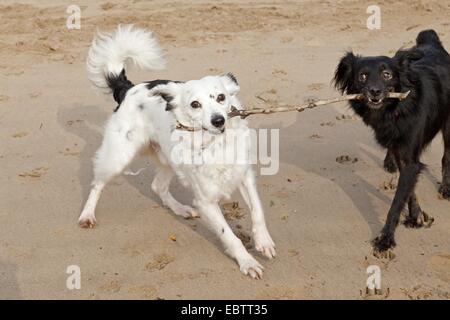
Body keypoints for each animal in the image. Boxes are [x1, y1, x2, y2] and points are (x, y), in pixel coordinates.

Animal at [78, 25, 274, 278]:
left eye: (221, 97)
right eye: (195, 104)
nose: (218, 120)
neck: (214, 144)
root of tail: (128, 89)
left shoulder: (244, 175)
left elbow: (258, 211)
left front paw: (263, 241)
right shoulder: (206, 201)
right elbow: (229, 235)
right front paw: (247, 261)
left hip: (169, 159)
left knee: (157, 186)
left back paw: (180, 209)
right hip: (118, 157)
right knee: (97, 184)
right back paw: (87, 215)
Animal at [334, 29, 450, 255]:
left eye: (386, 74)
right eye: (362, 76)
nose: (374, 91)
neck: (395, 109)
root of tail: (432, 41)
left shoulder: (410, 158)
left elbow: (396, 202)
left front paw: (385, 239)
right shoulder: (404, 156)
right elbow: (408, 190)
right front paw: (415, 216)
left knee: (447, 156)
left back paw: (446, 188)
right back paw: (389, 162)